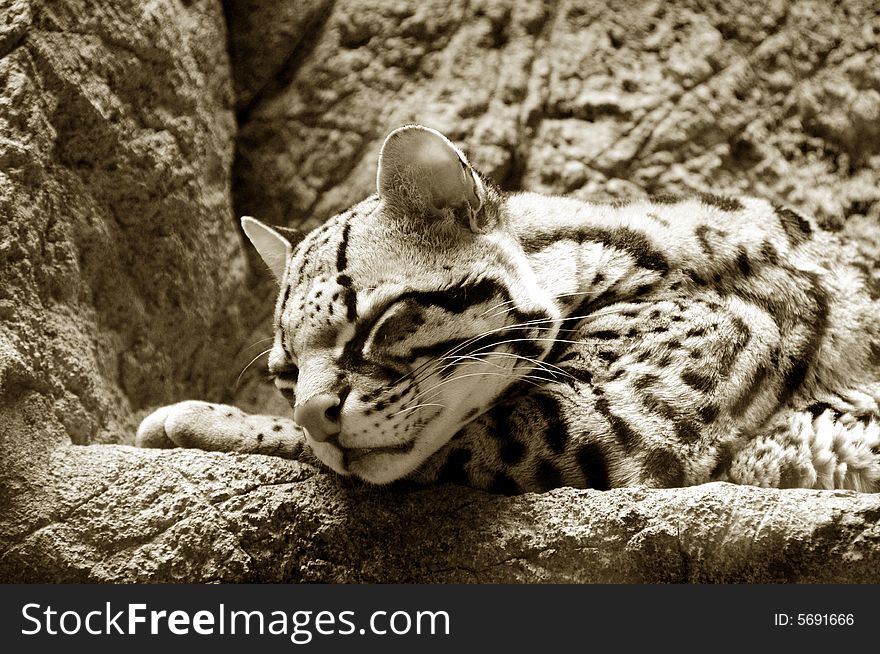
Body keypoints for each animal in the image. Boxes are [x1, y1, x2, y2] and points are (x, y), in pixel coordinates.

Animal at [138, 123, 880, 494]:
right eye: (287, 374)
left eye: (372, 326)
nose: (312, 414)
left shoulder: (622, 416)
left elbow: (440, 447)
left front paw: (200, 419)